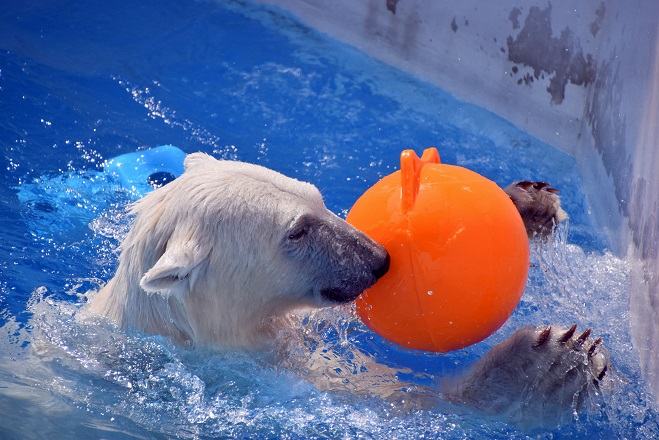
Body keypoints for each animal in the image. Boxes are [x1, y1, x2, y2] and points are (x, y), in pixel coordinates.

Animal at [86, 153, 608, 428]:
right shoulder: (249, 383)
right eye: (296, 231)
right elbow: (394, 405)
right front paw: (555, 363)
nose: (379, 259)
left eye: (315, 195)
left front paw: (529, 205)